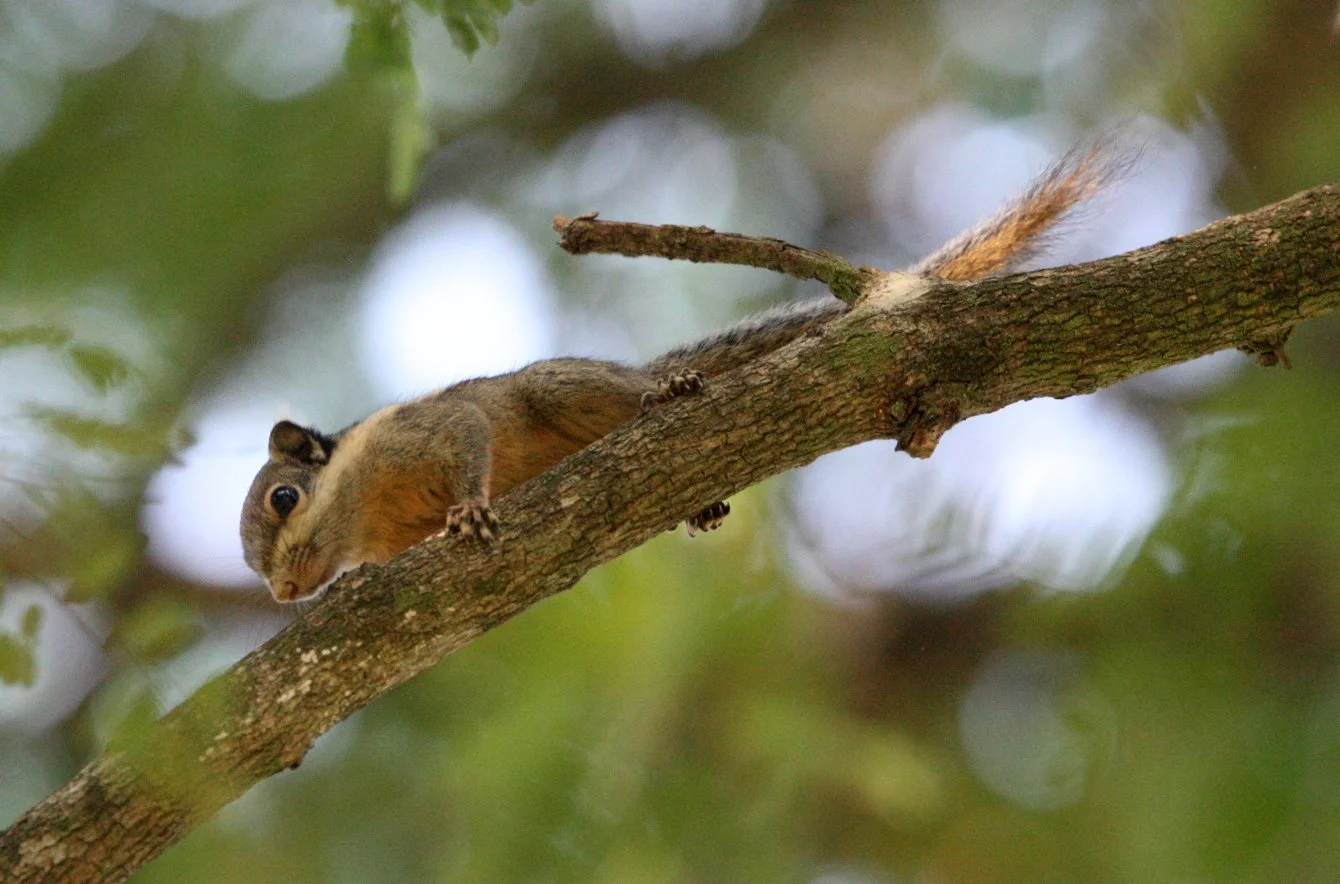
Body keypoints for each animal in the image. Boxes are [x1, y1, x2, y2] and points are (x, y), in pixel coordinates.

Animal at [240, 141, 1123, 602]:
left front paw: (466, 511)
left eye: (284, 498)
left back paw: (667, 390)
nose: (282, 595)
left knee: (618, 393)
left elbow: (467, 441)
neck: (368, 506)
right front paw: (353, 581)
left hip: (563, 386)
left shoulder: (425, 429)